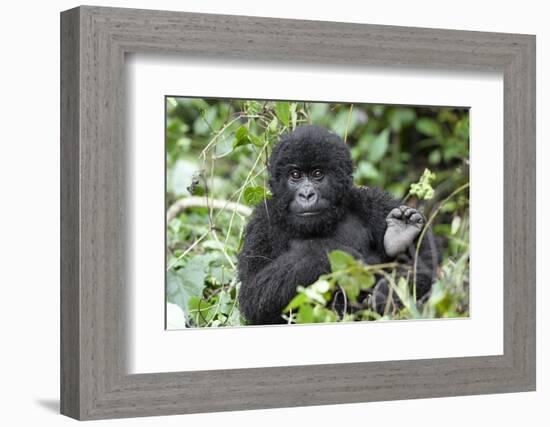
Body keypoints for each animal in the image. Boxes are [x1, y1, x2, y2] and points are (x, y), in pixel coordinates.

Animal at [239, 125, 442, 326]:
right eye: (295, 175)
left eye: (318, 174)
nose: (306, 195)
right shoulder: (262, 224)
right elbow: (254, 295)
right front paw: (333, 255)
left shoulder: (371, 201)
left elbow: (425, 263)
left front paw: (387, 292)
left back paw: (400, 235)